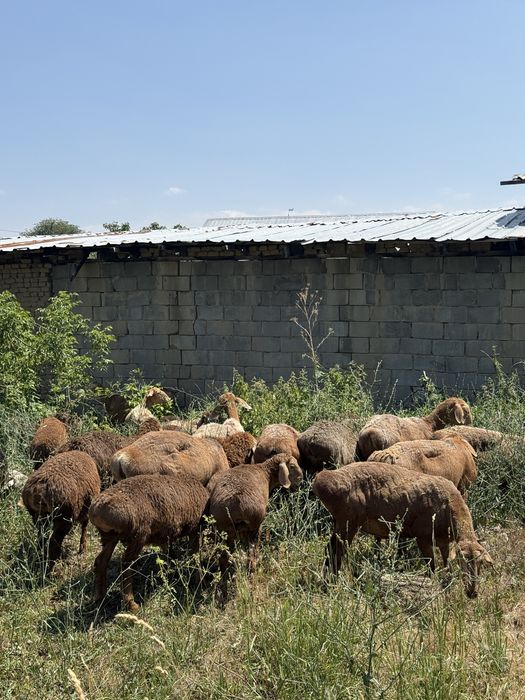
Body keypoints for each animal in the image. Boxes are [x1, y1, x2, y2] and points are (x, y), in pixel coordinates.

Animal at [89, 473, 210, 611]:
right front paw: (200, 582)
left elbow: (171, 554)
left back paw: (100, 597)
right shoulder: (195, 530)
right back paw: (131, 604)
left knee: (101, 561)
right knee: (126, 564)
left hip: (110, 537)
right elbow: (195, 557)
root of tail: (97, 509)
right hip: (138, 536)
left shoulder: (164, 536)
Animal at [208, 453, 303, 594]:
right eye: (292, 466)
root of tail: (236, 504)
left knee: (224, 558)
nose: (301, 480)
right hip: (254, 527)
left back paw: (224, 584)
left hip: (225, 531)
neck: (266, 473)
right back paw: (252, 587)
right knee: (251, 560)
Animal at [312, 462, 493, 598]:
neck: (448, 507)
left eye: (481, 563)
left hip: (340, 522)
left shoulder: (444, 541)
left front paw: (447, 583)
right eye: (463, 561)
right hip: (348, 522)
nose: (472, 593)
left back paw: (327, 583)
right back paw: (332, 584)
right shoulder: (422, 537)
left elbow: (446, 565)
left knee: (329, 549)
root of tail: (321, 480)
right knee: (336, 551)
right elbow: (431, 566)